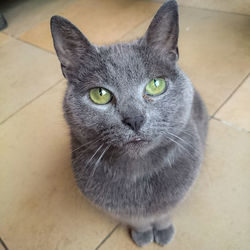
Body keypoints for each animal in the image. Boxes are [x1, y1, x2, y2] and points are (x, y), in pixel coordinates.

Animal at [49, 0, 208, 246]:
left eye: (156, 84)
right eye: (100, 94)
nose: (134, 119)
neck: (138, 173)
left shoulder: (176, 195)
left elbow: (163, 212)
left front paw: (163, 230)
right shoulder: (118, 208)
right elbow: (136, 219)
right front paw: (142, 234)